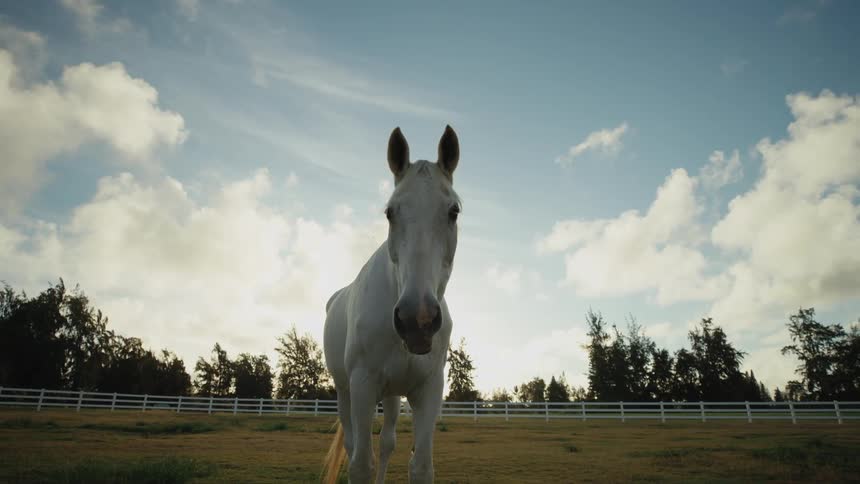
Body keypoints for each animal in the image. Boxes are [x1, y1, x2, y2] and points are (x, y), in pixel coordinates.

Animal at [321, 125, 462, 484]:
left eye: (453, 211)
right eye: (389, 212)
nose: (417, 320)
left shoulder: (428, 390)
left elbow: (420, 465)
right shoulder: (362, 386)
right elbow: (360, 463)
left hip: (393, 395)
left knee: (386, 443)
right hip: (345, 392)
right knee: (355, 444)